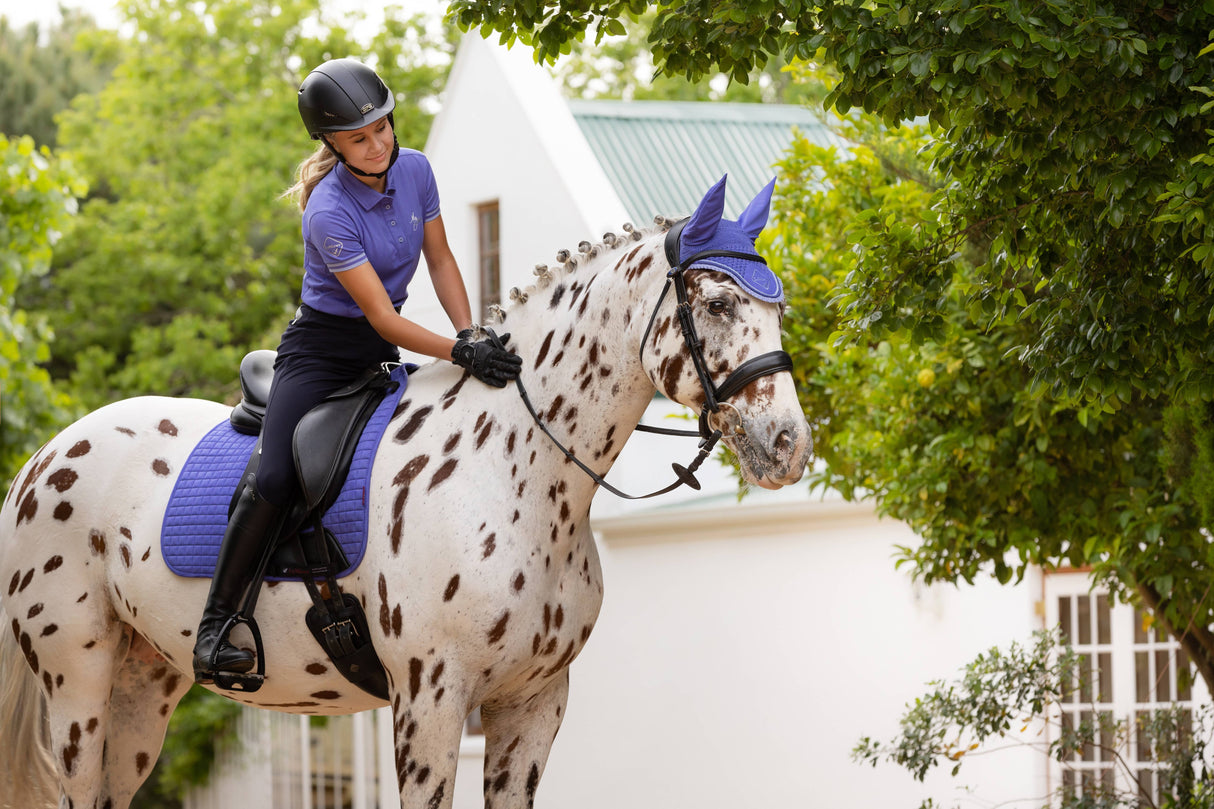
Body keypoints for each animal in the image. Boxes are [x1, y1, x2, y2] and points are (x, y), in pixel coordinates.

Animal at [2, 176, 815, 806]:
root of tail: (41, 460)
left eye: (778, 309)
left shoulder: (533, 704)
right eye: (716, 304)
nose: (788, 445)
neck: (511, 470)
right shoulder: (430, 700)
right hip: (78, 686)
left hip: (142, 686)